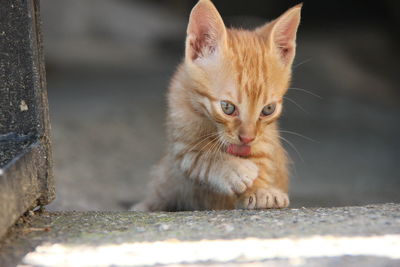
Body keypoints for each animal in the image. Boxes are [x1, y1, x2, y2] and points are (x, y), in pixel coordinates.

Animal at [133, 0, 302, 213]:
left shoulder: (266, 140)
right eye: (227, 108)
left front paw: (260, 190)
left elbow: (262, 159)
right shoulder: (182, 147)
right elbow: (202, 157)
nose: (247, 138)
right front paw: (233, 170)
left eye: (268, 110)